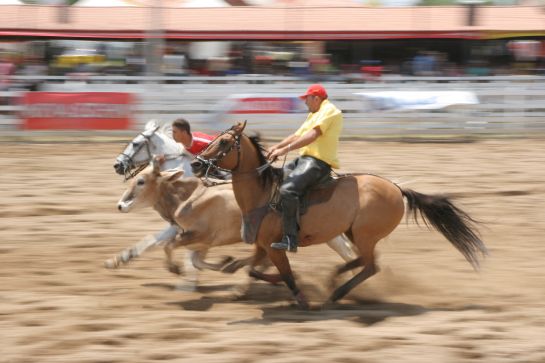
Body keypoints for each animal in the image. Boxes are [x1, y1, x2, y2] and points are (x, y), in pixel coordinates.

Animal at [108, 122, 360, 290]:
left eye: (136, 143)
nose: (117, 165)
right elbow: (158, 243)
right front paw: (118, 259)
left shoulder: (184, 227)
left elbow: (162, 244)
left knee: (346, 250)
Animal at [191, 122, 488, 310]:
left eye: (225, 142)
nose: (196, 164)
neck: (265, 194)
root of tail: (396, 188)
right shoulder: (262, 246)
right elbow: (253, 269)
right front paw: (240, 281)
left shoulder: (275, 247)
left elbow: (285, 274)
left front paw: (302, 298)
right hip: (354, 233)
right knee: (365, 262)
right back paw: (333, 280)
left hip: (366, 235)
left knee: (370, 266)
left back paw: (335, 293)